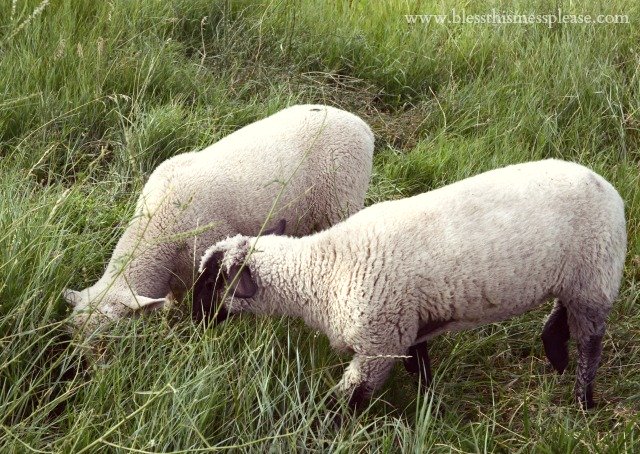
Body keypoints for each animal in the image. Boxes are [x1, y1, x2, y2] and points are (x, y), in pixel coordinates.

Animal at [194, 160, 624, 412]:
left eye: (213, 282)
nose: (194, 321)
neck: (322, 272)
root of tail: (608, 187)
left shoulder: (379, 343)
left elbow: (346, 400)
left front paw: (323, 430)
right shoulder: (409, 325)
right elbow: (422, 370)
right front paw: (429, 411)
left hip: (596, 277)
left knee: (590, 345)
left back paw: (583, 401)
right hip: (578, 279)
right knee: (562, 312)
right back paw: (555, 352)